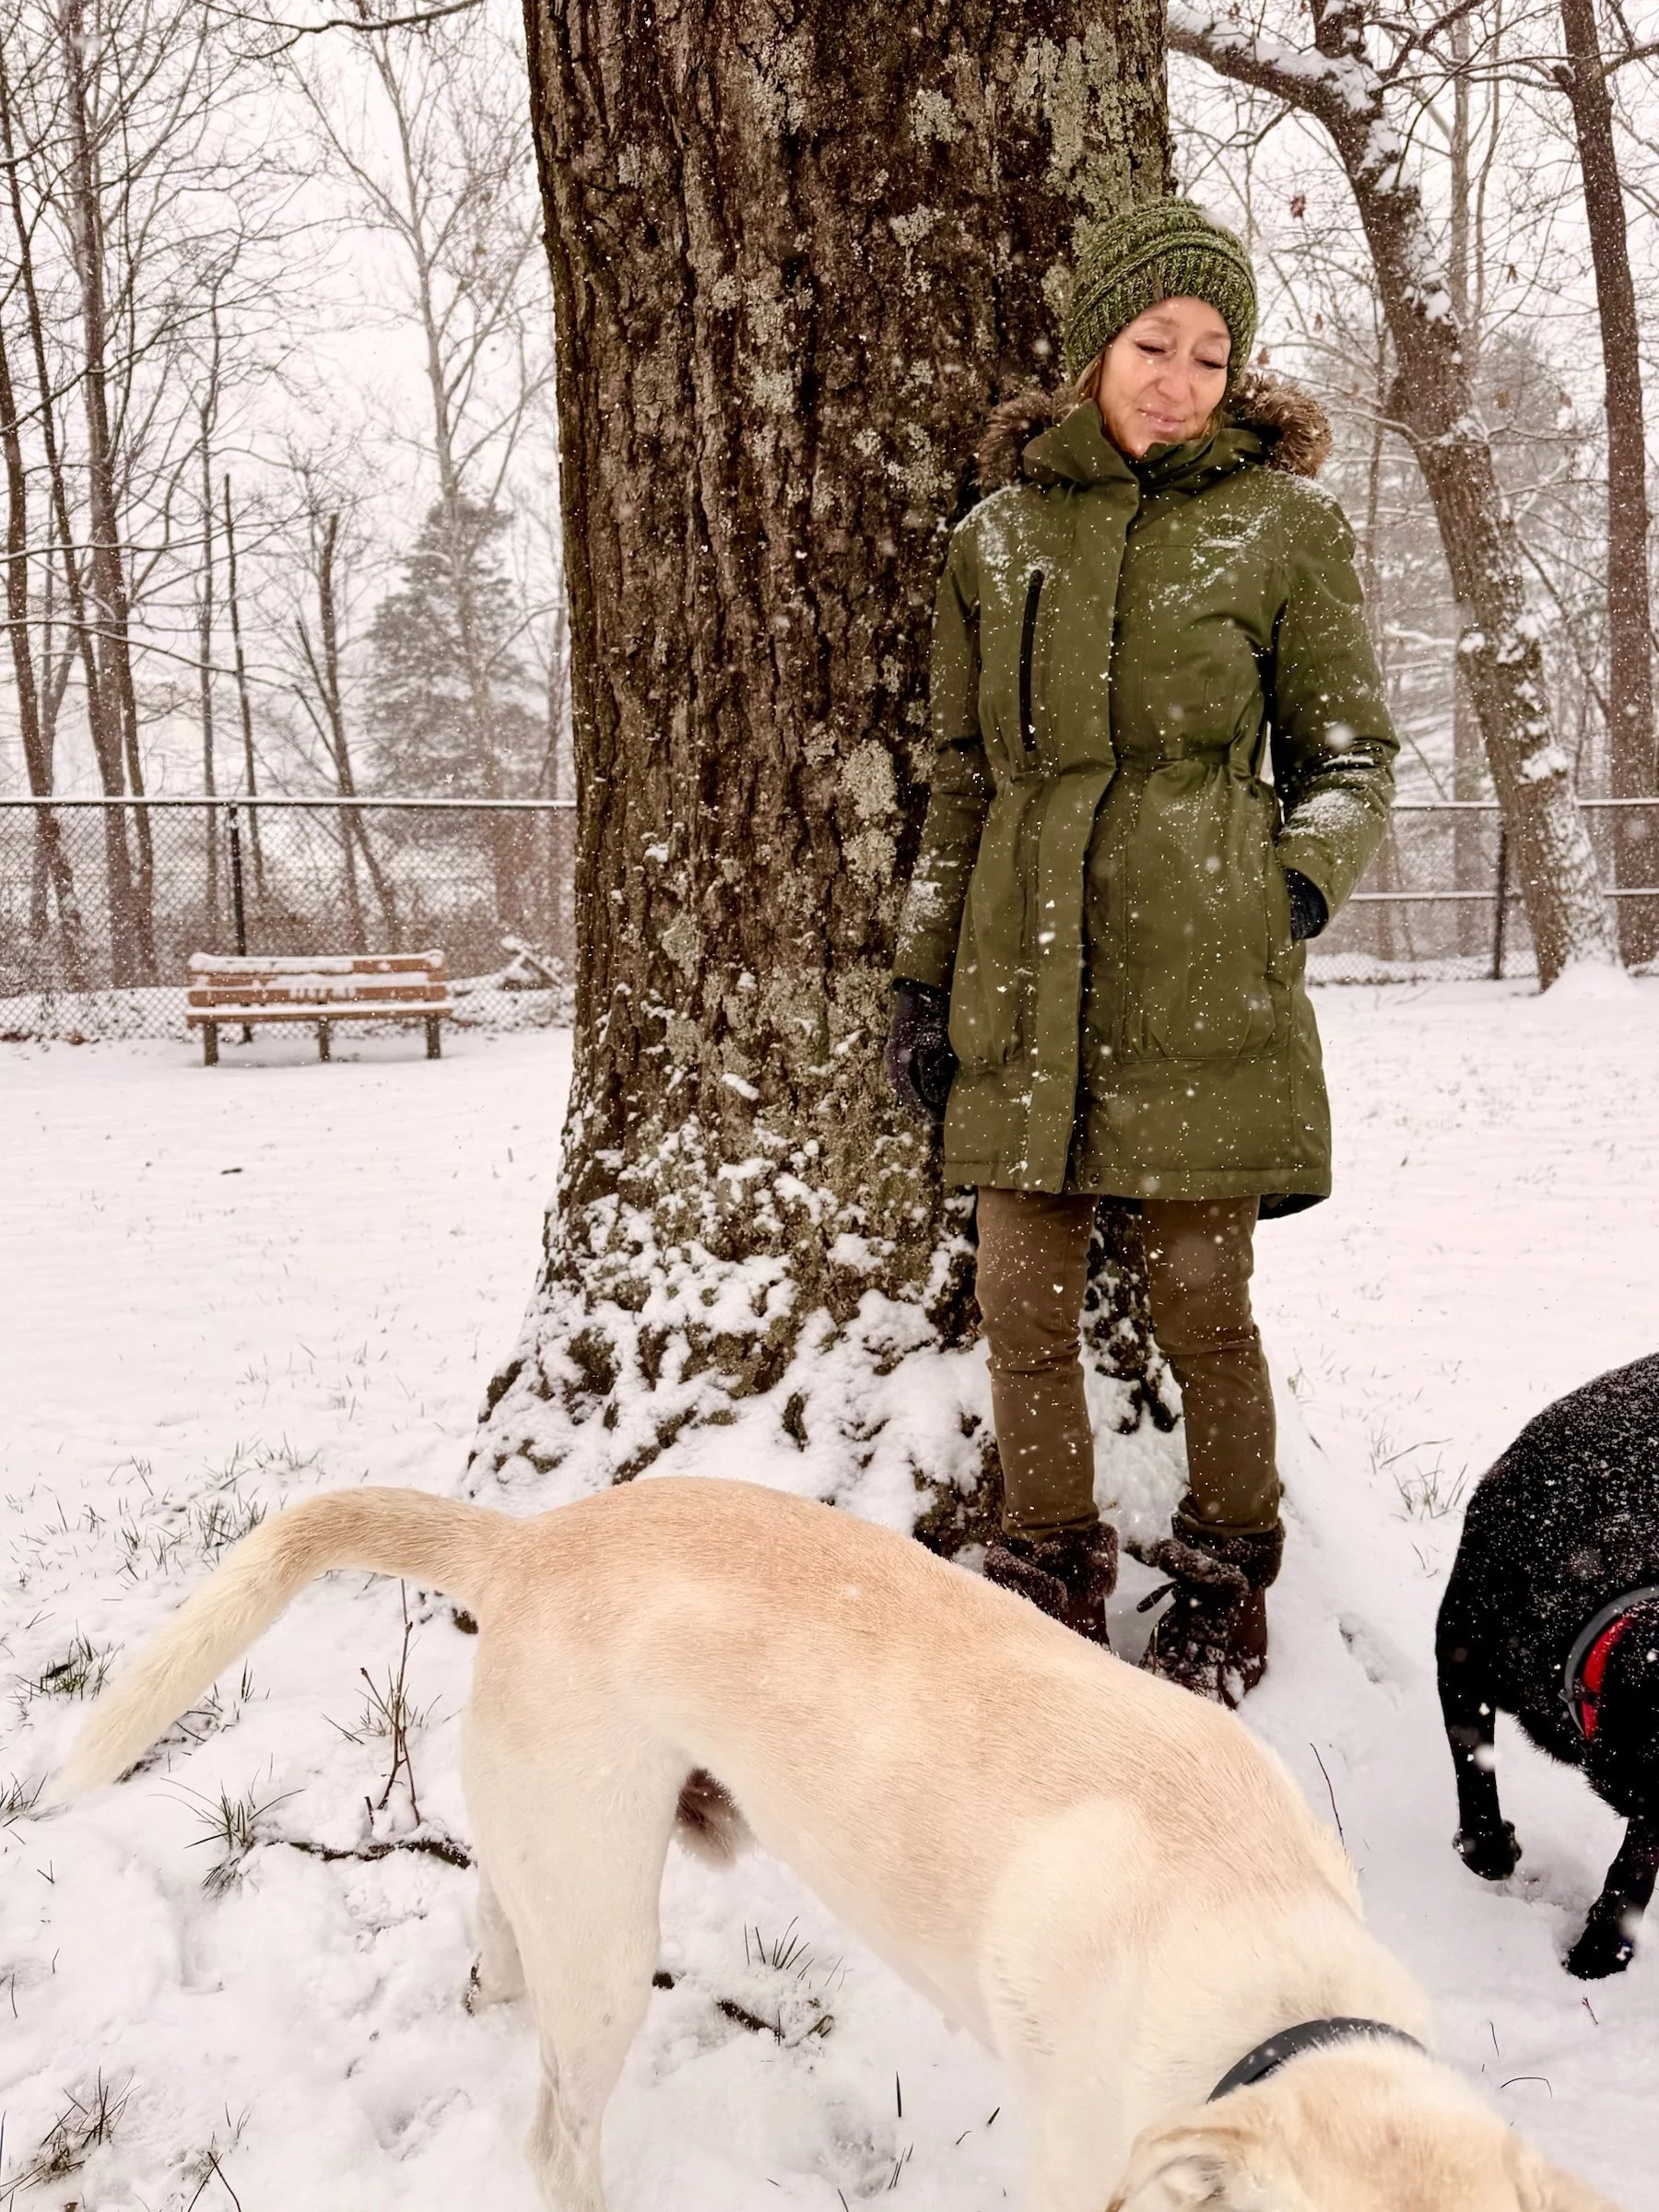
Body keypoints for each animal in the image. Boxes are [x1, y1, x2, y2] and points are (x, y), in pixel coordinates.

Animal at [51, 1477, 1618, 2212]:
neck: (1280, 1992)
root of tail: (533, 1541)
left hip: (554, 1856)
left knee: (496, 1922)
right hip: (612, 1940)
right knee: (556, 2136)